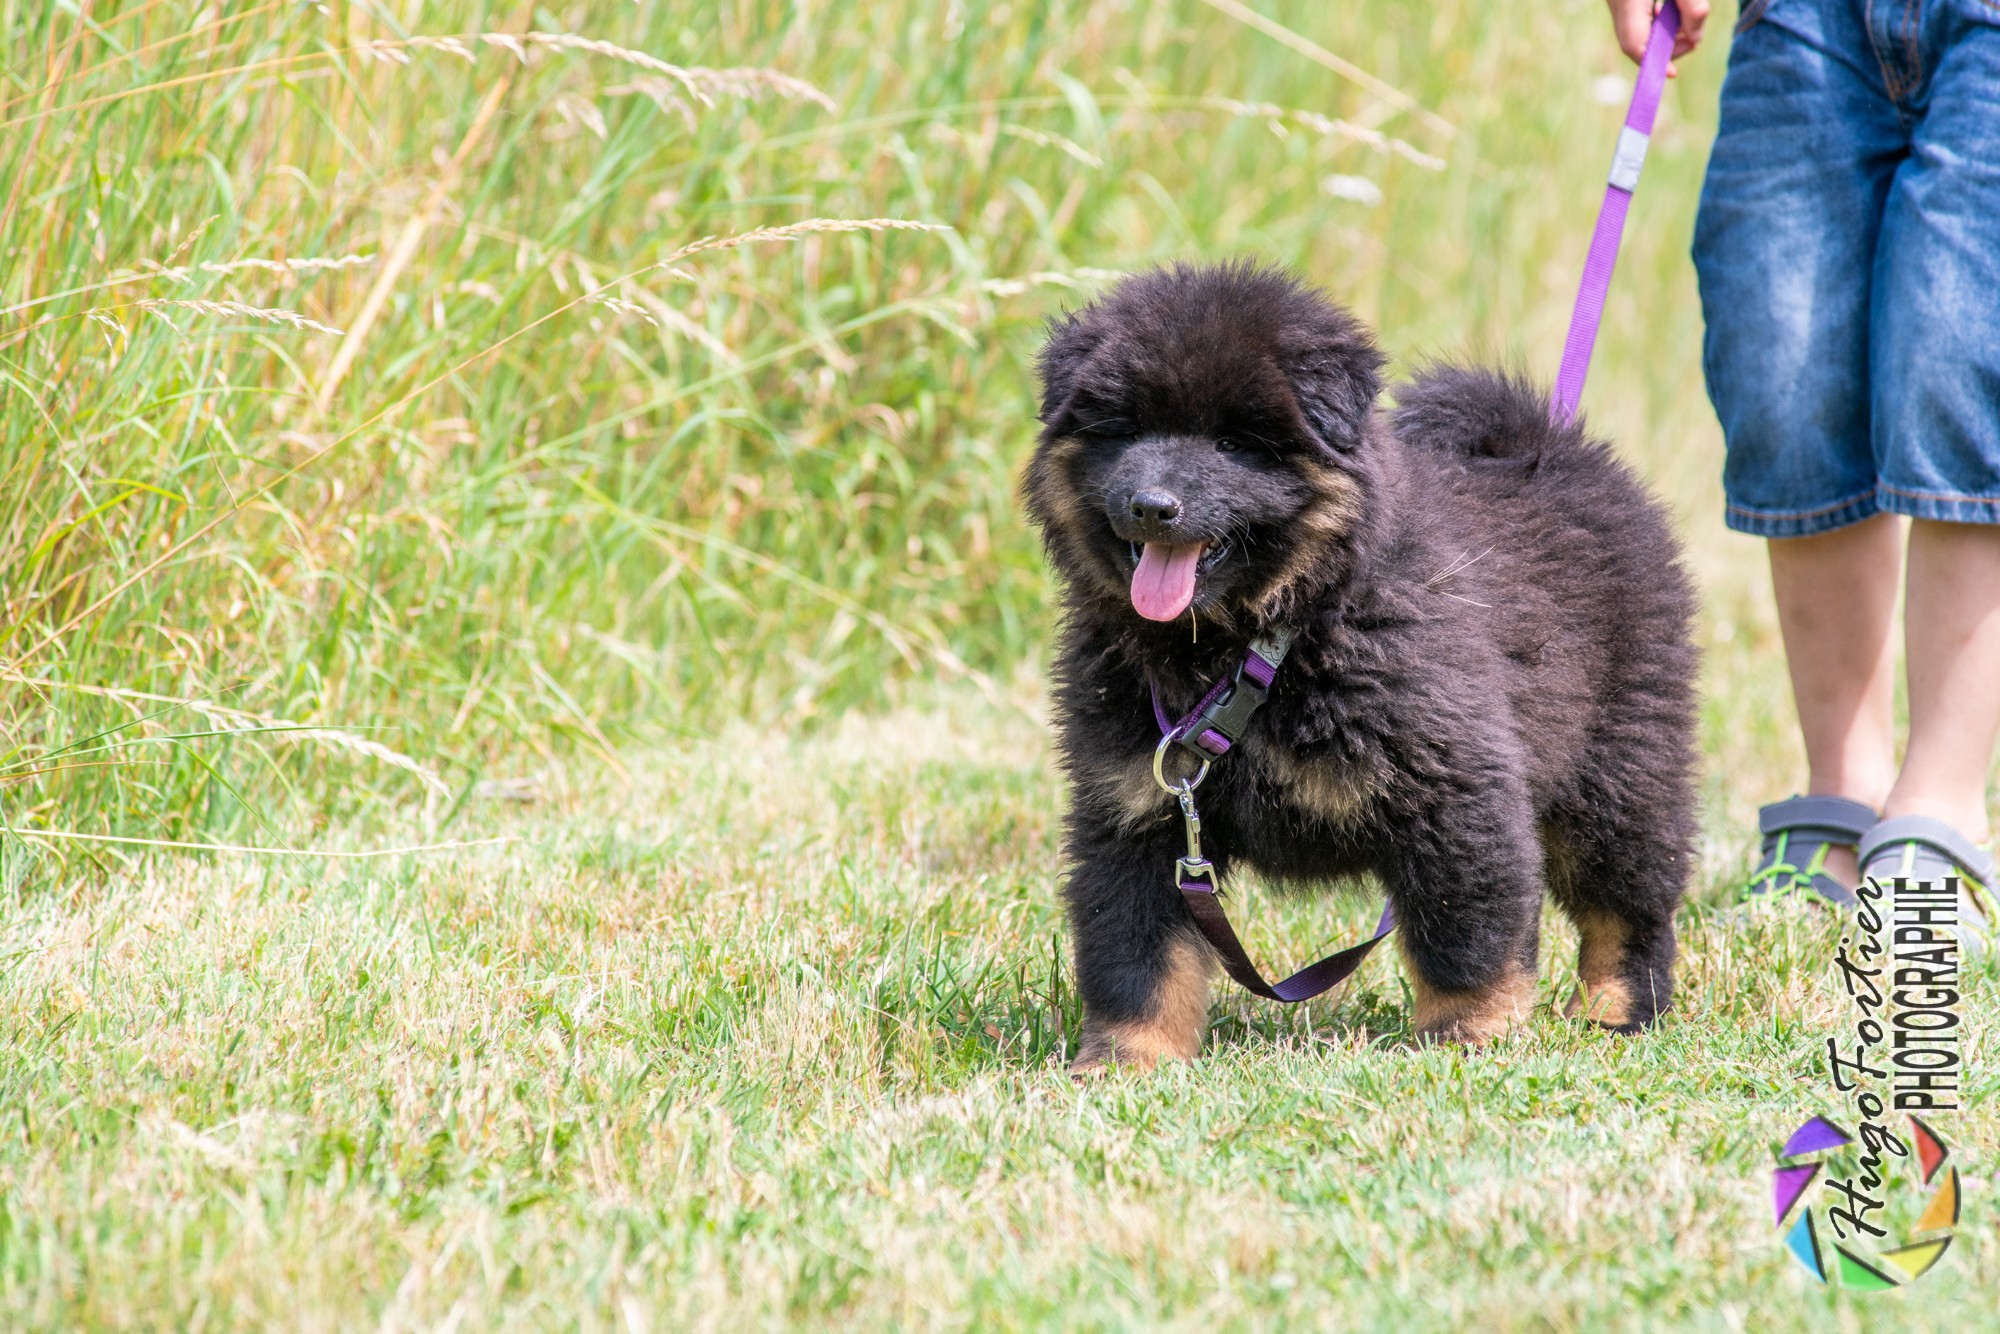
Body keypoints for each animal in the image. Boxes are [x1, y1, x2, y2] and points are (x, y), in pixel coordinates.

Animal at [1024, 264, 1696, 1072]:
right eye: (1124, 431)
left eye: (1231, 442)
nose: (1154, 506)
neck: (1259, 644)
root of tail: (1545, 442)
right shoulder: (1141, 808)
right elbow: (1137, 953)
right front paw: (1127, 1062)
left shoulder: (1451, 788)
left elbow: (1465, 937)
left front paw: (1469, 1038)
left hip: (1619, 768)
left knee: (1627, 908)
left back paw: (1615, 1012)